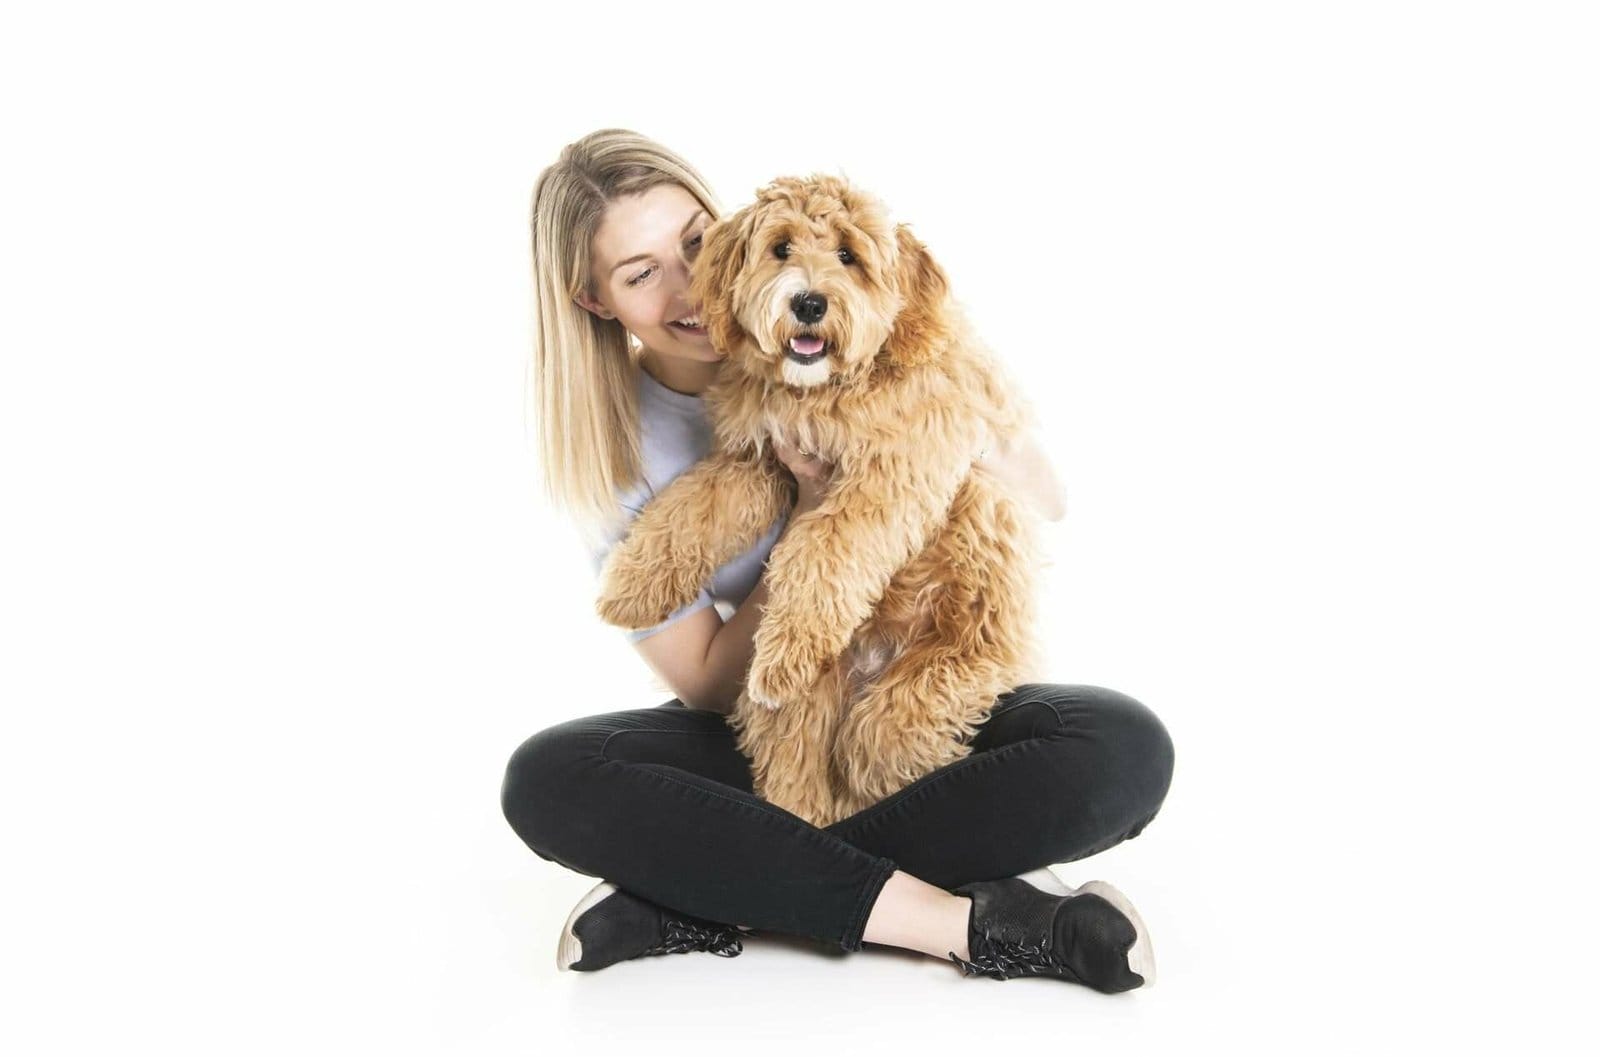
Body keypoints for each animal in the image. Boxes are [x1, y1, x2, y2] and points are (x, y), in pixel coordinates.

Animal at [595, 175, 1043, 825]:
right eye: (781, 248)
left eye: (849, 256)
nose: (808, 303)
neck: (824, 393)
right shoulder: (757, 460)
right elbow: (695, 506)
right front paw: (630, 585)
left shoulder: (890, 475)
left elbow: (826, 545)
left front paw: (788, 647)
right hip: (808, 710)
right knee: (797, 766)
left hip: (965, 649)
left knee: (886, 736)